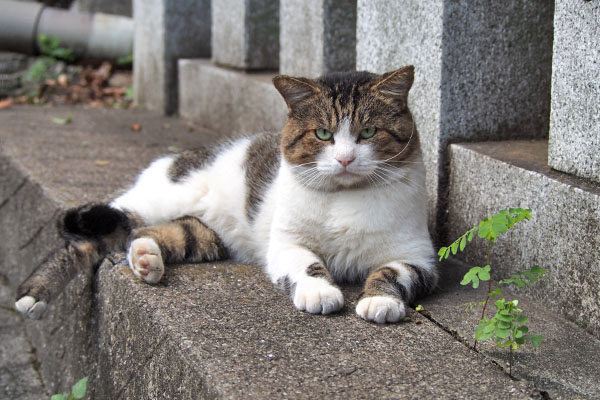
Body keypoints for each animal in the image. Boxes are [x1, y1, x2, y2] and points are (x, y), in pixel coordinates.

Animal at [15, 65, 436, 322]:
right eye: (323, 134)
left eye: (368, 133)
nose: (346, 159)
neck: (345, 199)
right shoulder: (286, 243)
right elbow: (307, 264)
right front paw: (320, 292)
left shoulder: (419, 256)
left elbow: (394, 272)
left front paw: (380, 300)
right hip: (156, 200)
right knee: (91, 237)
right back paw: (33, 295)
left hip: (205, 236)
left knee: (147, 234)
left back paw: (146, 260)